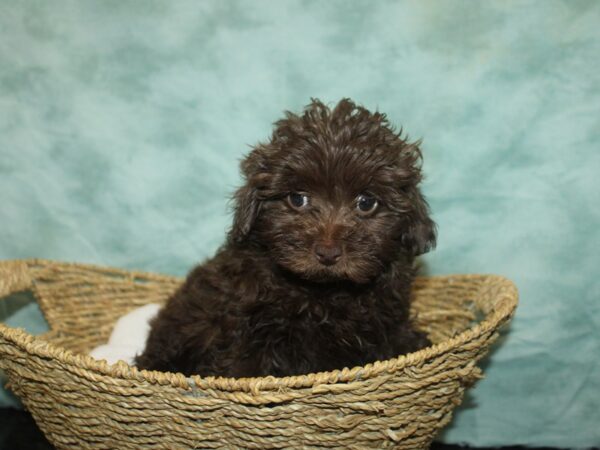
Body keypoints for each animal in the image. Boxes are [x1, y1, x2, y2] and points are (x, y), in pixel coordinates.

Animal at [136, 99, 436, 380]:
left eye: (366, 203)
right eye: (297, 199)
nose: (328, 253)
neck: (324, 292)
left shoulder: (389, 321)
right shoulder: (246, 332)